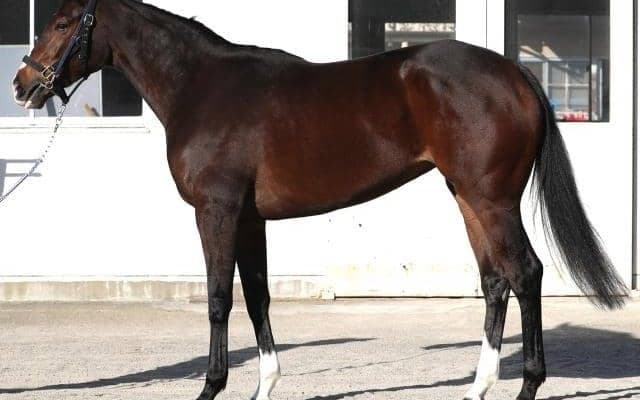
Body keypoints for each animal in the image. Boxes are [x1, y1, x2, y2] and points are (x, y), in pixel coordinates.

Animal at [12, 1, 627, 399]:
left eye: (63, 23)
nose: (22, 84)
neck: (202, 87)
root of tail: (516, 71)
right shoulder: (249, 219)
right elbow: (257, 297)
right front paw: (264, 385)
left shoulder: (217, 212)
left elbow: (218, 299)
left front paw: (211, 387)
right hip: (469, 197)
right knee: (496, 280)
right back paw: (478, 386)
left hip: (493, 199)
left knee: (525, 273)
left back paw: (526, 386)